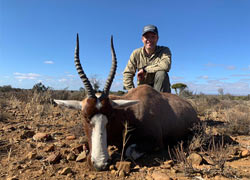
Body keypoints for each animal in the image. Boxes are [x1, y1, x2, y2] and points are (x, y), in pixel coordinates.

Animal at [54, 34, 199, 171]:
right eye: (84, 116)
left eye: (111, 116)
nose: (100, 163)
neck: (130, 114)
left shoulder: (156, 142)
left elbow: (129, 151)